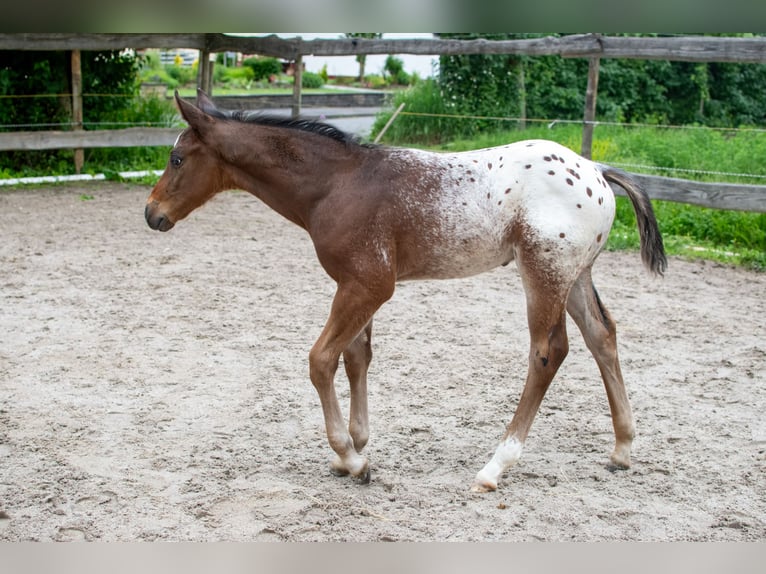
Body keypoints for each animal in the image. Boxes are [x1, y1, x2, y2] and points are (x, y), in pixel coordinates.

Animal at [146, 91, 664, 496]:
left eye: (177, 159)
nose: (152, 214)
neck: (335, 185)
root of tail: (596, 170)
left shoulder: (369, 284)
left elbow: (320, 360)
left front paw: (352, 457)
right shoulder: (356, 286)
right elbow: (356, 357)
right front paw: (355, 447)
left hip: (544, 272)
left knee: (548, 351)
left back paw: (495, 466)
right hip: (576, 275)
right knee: (603, 337)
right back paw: (622, 448)